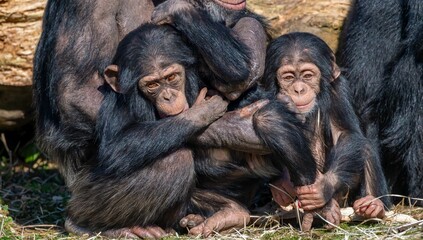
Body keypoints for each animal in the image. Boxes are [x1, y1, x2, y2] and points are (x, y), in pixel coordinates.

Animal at [264, 32, 392, 231]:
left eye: (308, 75)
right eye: (288, 77)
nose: (298, 89)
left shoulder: (337, 90)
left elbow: (345, 133)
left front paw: (322, 188)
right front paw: (283, 185)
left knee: (364, 146)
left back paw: (372, 207)